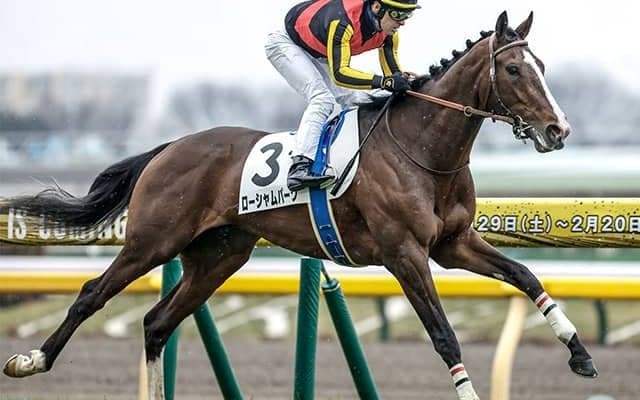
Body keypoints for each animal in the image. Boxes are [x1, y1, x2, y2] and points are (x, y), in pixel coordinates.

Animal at [2, 11, 597, 400]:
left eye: (542, 66)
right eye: (515, 70)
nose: (559, 130)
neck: (424, 149)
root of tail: (170, 146)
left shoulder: (453, 244)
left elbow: (526, 276)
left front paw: (580, 353)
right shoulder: (404, 253)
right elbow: (444, 335)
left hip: (218, 255)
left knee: (155, 322)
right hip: (153, 241)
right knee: (91, 295)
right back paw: (31, 360)